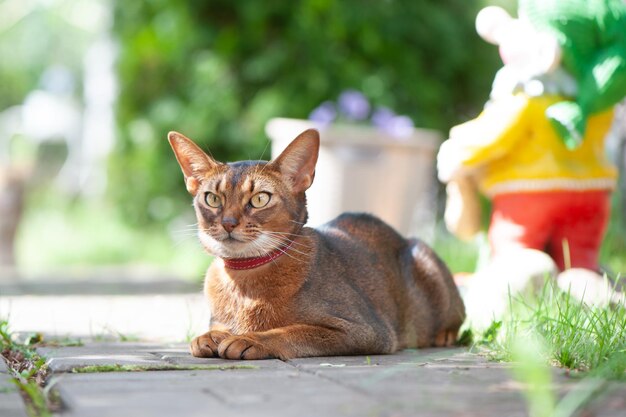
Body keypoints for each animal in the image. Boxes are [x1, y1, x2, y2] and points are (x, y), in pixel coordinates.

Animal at [168, 128, 466, 360]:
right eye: (212, 199)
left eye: (260, 199)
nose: (228, 223)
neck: (244, 279)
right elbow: (212, 331)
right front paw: (211, 336)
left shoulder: (366, 330)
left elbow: (292, 331)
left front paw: (250, 339)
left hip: (427, 264)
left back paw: (444, 335)